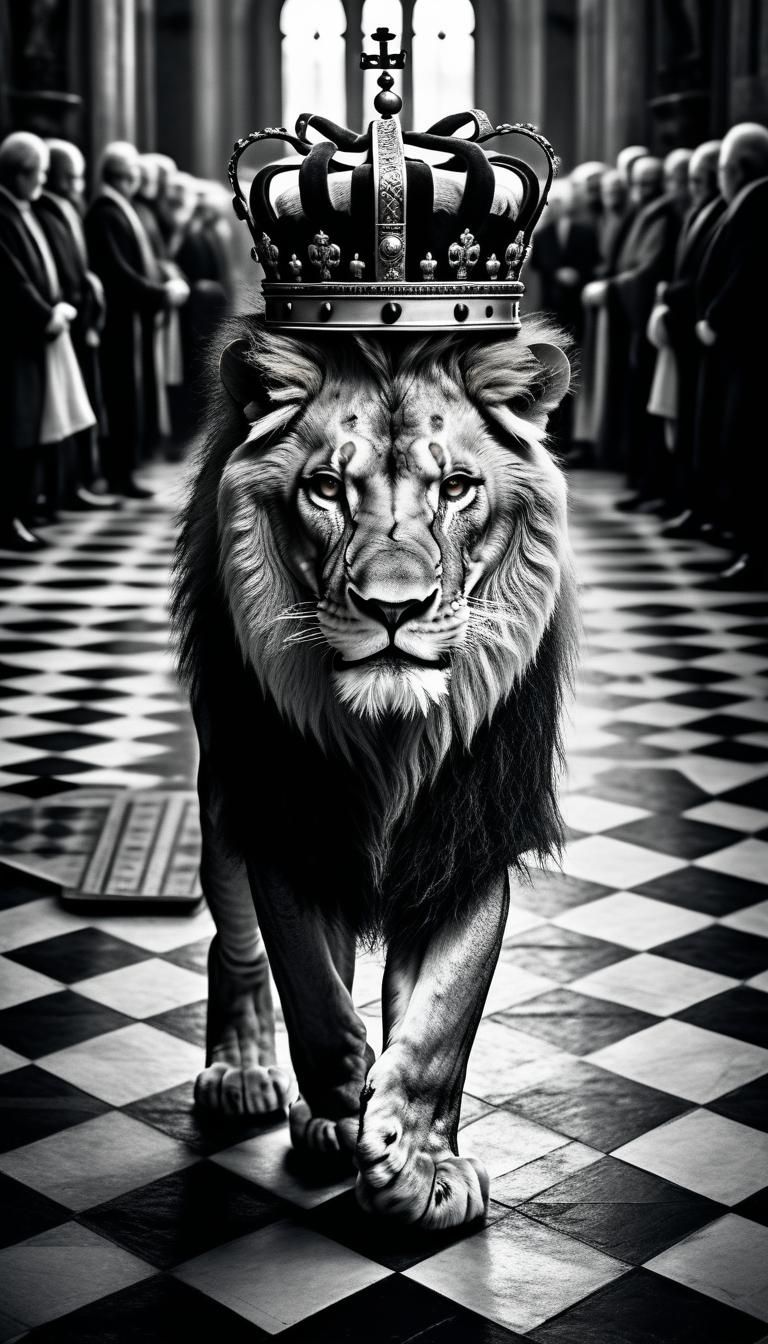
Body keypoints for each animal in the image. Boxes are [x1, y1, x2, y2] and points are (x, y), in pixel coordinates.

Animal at [172, 314, 577, 1229]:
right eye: (327, 489)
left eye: (456, 487)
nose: (395, 609)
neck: (391, 738)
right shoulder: (287, 825)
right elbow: (315, 999)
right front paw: (344, 1102)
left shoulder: (465, 840)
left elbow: (438, 1025)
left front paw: (417, 1162)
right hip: (222, 792)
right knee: (235, 940)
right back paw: (248, 1074)